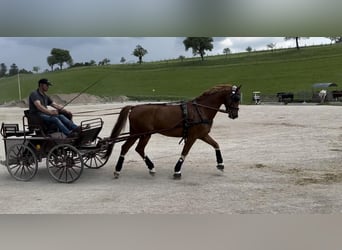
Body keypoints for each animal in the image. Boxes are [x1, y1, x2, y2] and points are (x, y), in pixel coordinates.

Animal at [105, 85, 242, 179]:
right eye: (235, 98)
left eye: (239, 98)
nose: (235, 115)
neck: (201, 109)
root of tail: (134, 107)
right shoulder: (192, 136)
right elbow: (184, 153)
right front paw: (177, 171)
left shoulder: (202, 135)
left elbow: (216, 145)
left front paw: (220, 164)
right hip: (142, 134)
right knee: (134, 148)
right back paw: (124, 169)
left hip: (139, 134)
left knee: (130, 148)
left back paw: (144, 169)